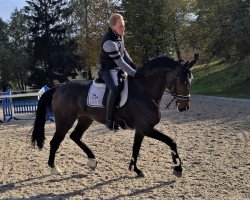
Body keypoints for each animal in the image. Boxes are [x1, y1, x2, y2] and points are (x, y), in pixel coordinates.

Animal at [32, 55, 197, 177]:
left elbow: (136, 148)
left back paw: (92, 161)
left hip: (85, 119)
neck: (144, 89)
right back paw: (54, 168)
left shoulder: (141, 129)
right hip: (65, 121)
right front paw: (178, 168)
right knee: (55, 142)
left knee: (75, 136)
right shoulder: (146, 128)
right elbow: (171, 141)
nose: (184, 107)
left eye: (191, 80)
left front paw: (135, 169)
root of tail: (59, 87)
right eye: (183, 81)